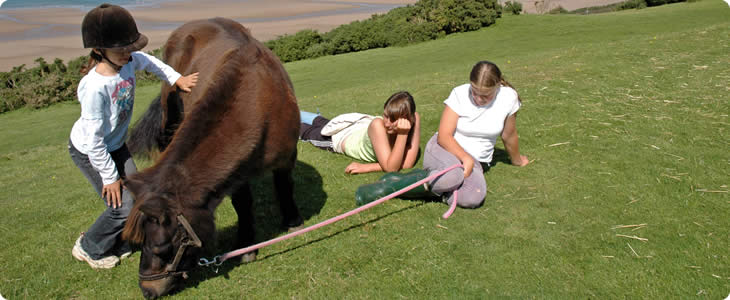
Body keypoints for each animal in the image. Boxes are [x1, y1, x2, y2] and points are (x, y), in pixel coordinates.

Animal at [121, 18, 302, 298]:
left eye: (162, 248)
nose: (147, 290)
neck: (260, 100)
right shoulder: (238, 174)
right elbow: (243, 203)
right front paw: (246, 244)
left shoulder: (286, 156)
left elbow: (285, 186)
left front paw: (292, 220)